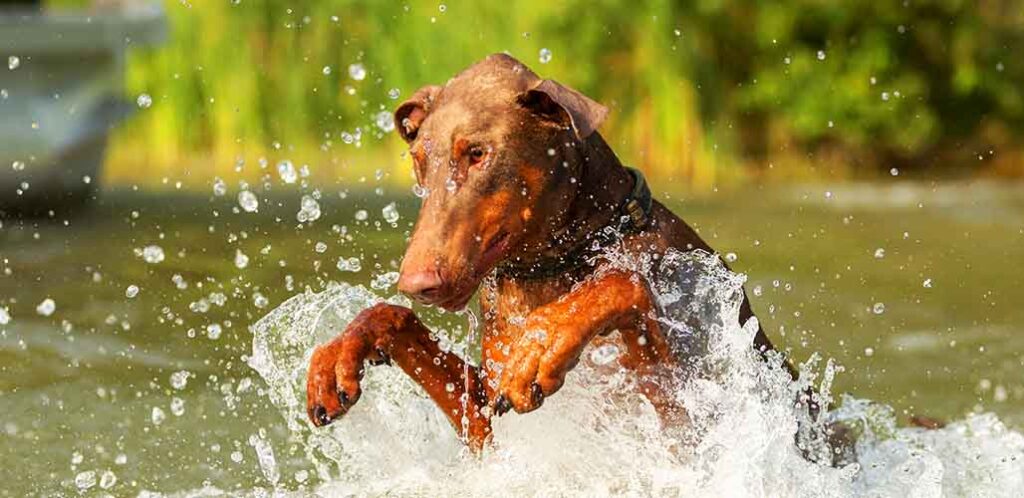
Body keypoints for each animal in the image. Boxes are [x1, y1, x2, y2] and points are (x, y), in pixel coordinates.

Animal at [303, 54, 782, 450]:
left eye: (477, 153)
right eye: (419, 159)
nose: (417, 284)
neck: (552, 267)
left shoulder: (692, 419)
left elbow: (622, 282)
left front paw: (540, 346)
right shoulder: (485, 420)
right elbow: (390, 316)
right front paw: (335, 358)